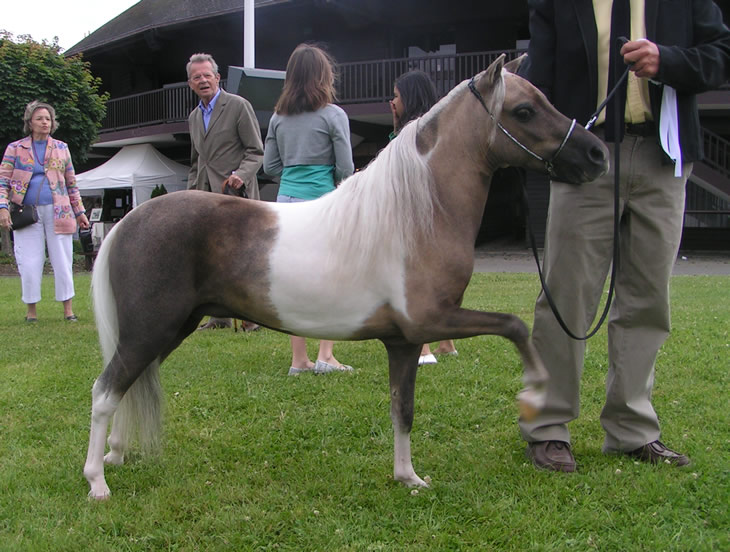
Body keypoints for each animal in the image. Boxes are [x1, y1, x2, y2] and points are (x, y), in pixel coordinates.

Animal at [84, 57, 608, 500]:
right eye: (524, 110)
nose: (597, 154)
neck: (415, 212)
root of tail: (130, 220)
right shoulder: (434, 321)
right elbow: (514, 325)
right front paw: (534, 392)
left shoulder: (403, 341)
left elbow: (403, 411)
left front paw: (408, 478)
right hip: (151, 329)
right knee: (106, 391)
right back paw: (97, 482)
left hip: (170, 329)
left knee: (127, 385)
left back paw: (116, 454)